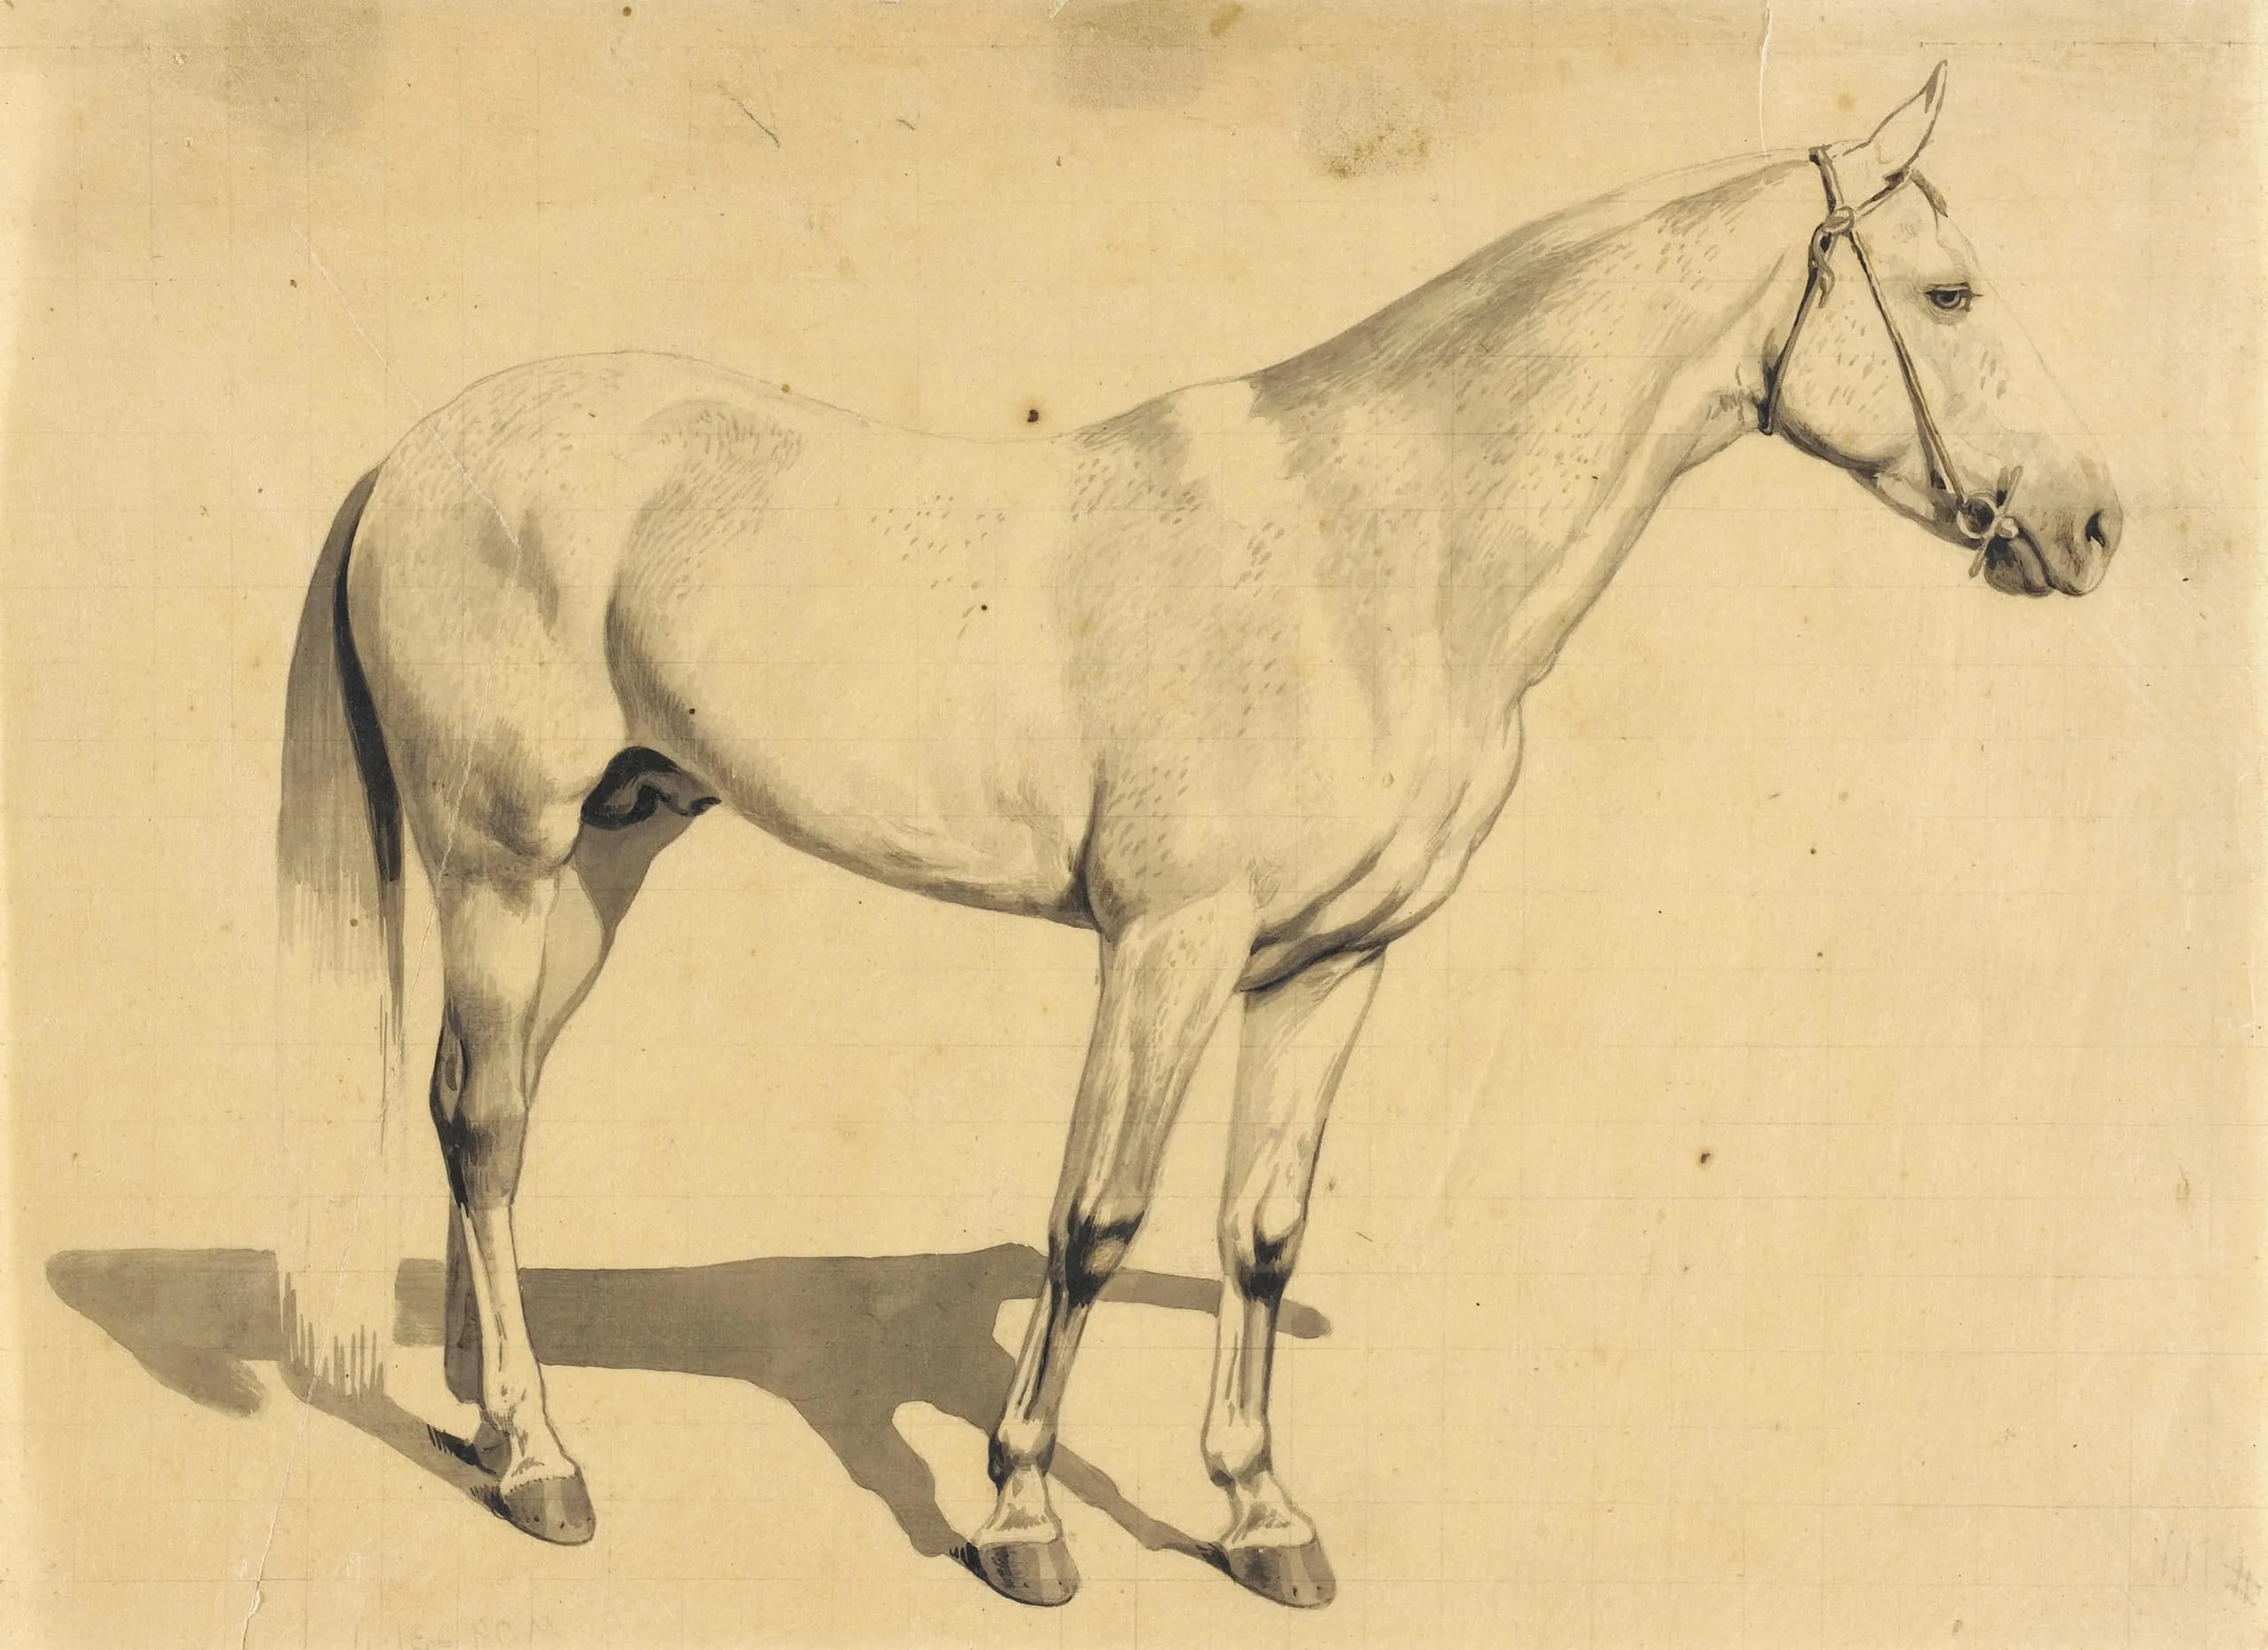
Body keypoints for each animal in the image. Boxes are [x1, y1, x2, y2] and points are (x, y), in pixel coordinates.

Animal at [274, 63, 2119, 1609]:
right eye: (1948, 293)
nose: (2093, 520)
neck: (1377, 545)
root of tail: (411, 452)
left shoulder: (1329, 967)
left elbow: (1259, 1230)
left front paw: (1261, 1518)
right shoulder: (1167, 944)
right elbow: (1097, 1215)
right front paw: (1021, 1519)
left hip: (603, 859)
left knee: (491, 1111)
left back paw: (481, 1409)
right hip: (503, 860)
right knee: (484, 1120)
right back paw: (541, 1462)